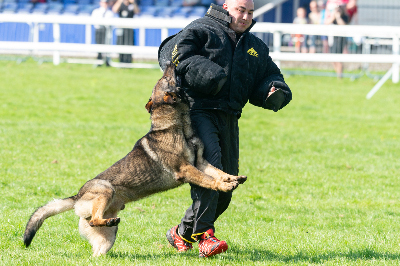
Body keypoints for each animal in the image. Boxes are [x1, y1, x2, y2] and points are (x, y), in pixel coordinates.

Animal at [24, 61, 247, 256]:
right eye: (166, 78)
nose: (171, 63)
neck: (177, 126)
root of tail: (77, 197)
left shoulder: (200, 163)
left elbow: (218, 172)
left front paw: (232, 179)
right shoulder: (186, 169)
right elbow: (209, 180)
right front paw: (224, 185)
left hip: (107, 238)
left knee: (97, 246)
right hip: (106, 189)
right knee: (94, 219)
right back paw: (107, 221)